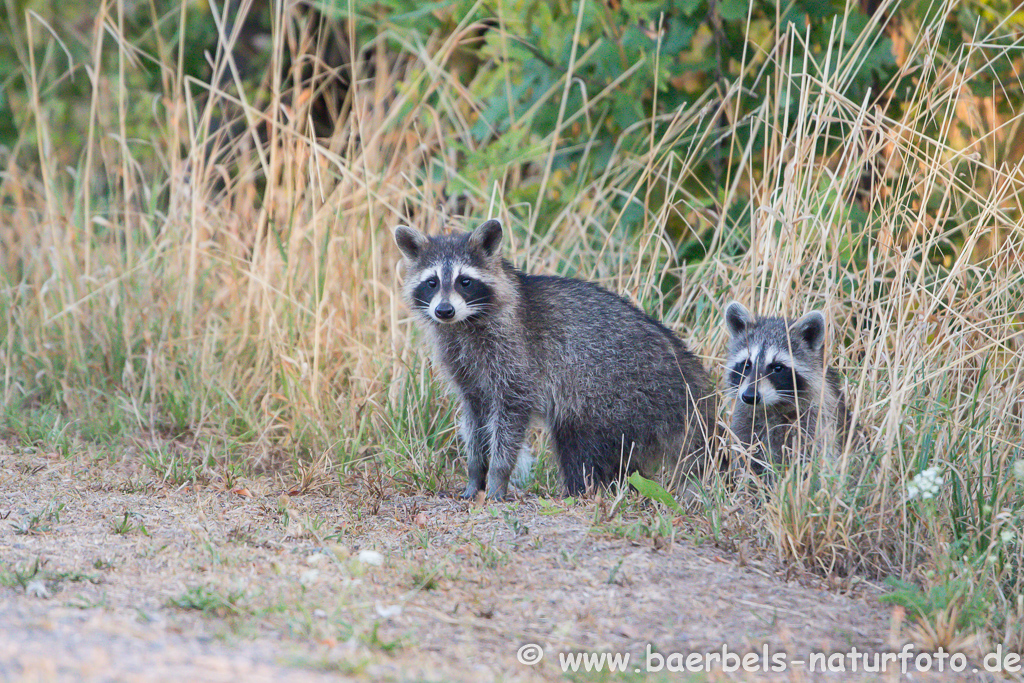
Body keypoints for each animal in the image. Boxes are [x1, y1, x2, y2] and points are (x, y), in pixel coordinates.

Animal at [391, 220, 720, 501]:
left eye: (465, 281)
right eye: (432, 282)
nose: (444, 311)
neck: (464, 323)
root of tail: (690, 378)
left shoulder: (515, 359)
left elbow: (509, 423)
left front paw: (497, 478)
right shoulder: (466, 373)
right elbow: (474, 424)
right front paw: (475, 474)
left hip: (617, 393)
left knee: (580, 444)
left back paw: (580, 491)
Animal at [724, 301, 851, 473]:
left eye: (777, 368)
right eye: (746, 365)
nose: (750, 397)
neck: (770, 408)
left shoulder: (817, 423)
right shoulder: (744, 424)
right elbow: (745, 459)